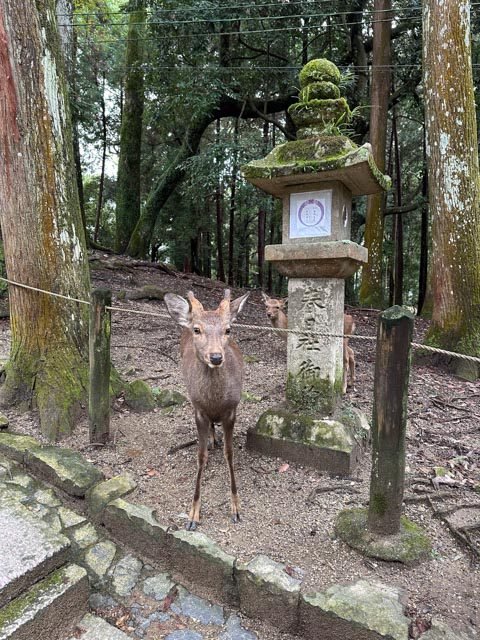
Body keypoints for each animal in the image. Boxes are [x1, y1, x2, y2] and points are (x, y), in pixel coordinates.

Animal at [164, 289, 250, 531]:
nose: (216, 357)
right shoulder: (199, 411)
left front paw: (236, 508)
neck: (214, 401)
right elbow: (200, 456)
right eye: (197, 329)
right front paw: (193, 515)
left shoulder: (232, 410)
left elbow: (230, 454)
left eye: (228, 329)